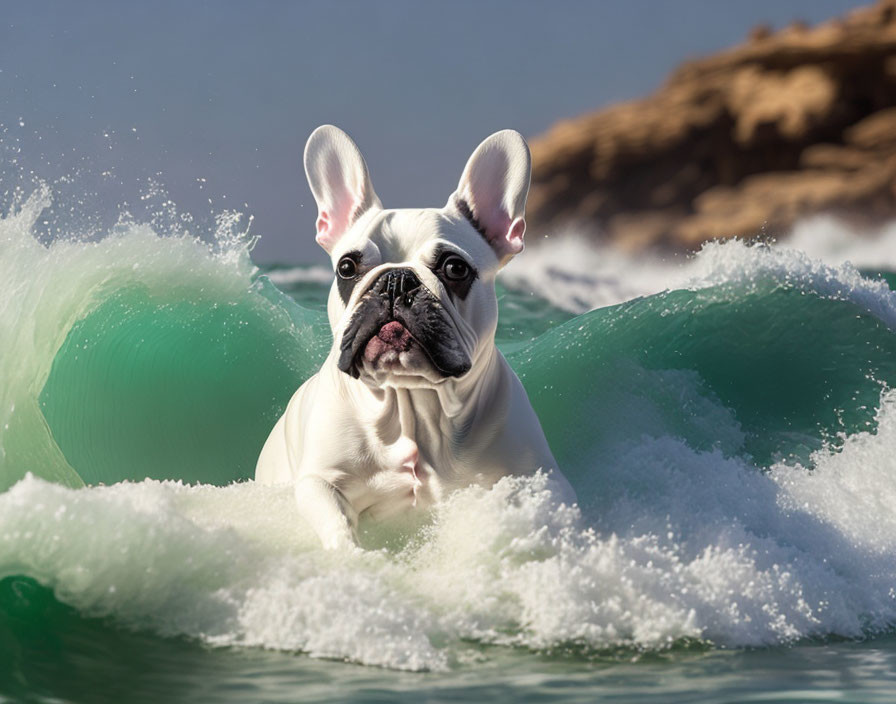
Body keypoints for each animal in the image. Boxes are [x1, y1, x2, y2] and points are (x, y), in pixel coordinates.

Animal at [256, 124, 576, 548]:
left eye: (455, 268)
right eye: (346, 267)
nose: (396, 280)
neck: (411, 402)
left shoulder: (541, 479)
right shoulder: (319, 481)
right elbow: (335, 519)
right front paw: (353, 555)